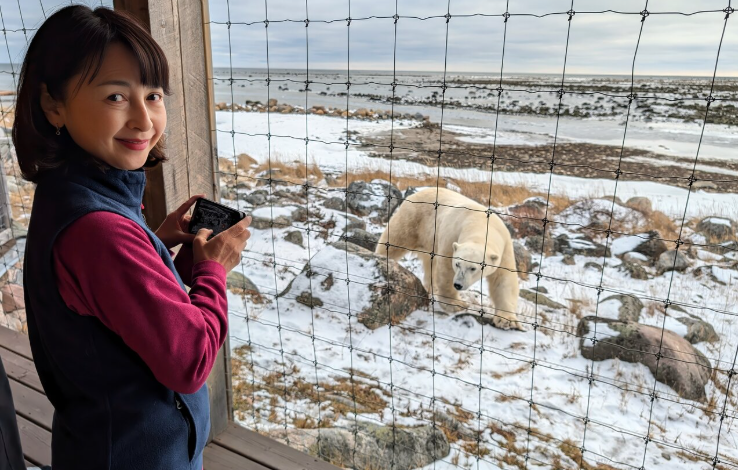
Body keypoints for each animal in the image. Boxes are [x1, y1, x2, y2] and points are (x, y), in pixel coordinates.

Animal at [376, 187, 521, 330]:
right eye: (457, 264)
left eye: (473, 268)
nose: (458, 284)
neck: (481, 225)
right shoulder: (452, 235)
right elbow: (446, 269)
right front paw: (456, 304)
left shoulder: (505, 248)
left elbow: (504, 280)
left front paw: (507, 321)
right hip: (413, 218)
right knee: (395, 240)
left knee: (430, 263)